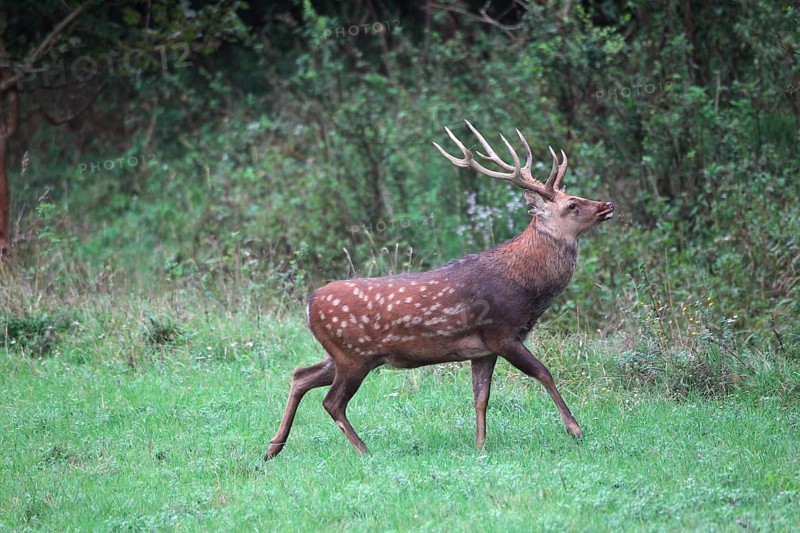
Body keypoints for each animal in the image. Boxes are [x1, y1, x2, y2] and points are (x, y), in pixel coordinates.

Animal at [265, 120, 614, 460]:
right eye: (572, 205)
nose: (607, 204)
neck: (526, 291)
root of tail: (310, 304)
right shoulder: (501, 332)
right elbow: (543, 373)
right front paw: (575, 429)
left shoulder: (483, 349)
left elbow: (480, 397)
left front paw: (480, 446)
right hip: (353, 354)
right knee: (332, 401)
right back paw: (365, 450)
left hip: (344, 354)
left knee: (301, 375)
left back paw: (272, 448)